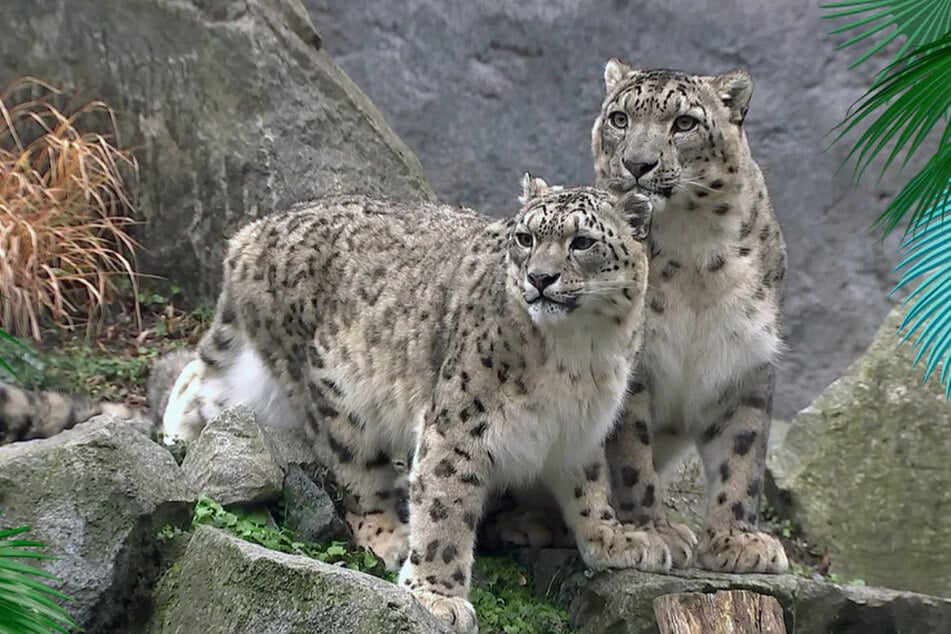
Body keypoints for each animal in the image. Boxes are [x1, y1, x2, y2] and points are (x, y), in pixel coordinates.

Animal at [156, 177, 668, 632]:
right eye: (526, 238)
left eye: (582, 242)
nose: (540, 277)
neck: (581, 355)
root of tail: (253, 233)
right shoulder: (459, 424)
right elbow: (445, 506)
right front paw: (438, 597)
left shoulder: (580, 430)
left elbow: (589, 487)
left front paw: (615, 538)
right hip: (337, 400)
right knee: (359, 478)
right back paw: (394, 535)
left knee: (204, 385)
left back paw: (180, 437)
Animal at [592, 59, 792, 572]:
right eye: (619, 118)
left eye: (684, 123)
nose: (637, 164)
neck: (696, 257)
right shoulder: (631, 368)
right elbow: (633, 456)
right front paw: (654, 532)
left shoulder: (748, 363)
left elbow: (743, 455)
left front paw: (737, 540)